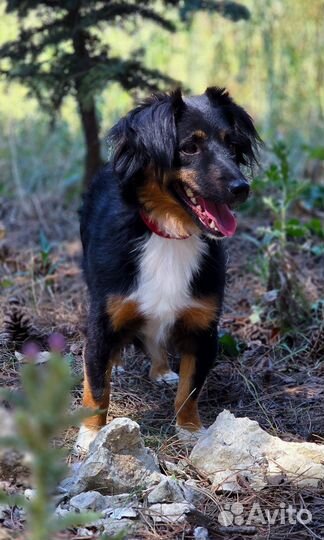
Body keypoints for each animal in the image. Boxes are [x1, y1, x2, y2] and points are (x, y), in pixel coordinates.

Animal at [74, 87, 260, 452]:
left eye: (232, 145)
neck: (171, 234)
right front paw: (90, 433)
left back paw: (160, 370)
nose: (241, 188)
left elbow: (190, 389)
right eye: (189, 147)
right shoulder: (103, 319)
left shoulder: (204, 329)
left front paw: (190, 429)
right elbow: (98, 386)